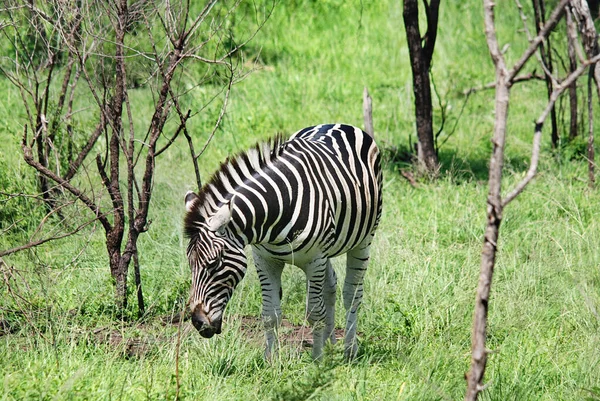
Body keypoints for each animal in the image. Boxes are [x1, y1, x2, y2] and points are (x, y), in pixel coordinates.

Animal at [183, 122, 382, 360]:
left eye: (213, 264)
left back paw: (349, 350)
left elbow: (315, 313)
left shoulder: (315, 259)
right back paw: (330, 344)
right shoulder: (265, 259)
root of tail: (339, 123)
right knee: (331, 286)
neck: (274, 213)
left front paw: (317, 361)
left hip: (364, 240)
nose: (198, 322)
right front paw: (270, 360)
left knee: (352, 294)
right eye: (190, 265)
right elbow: (270, 314)